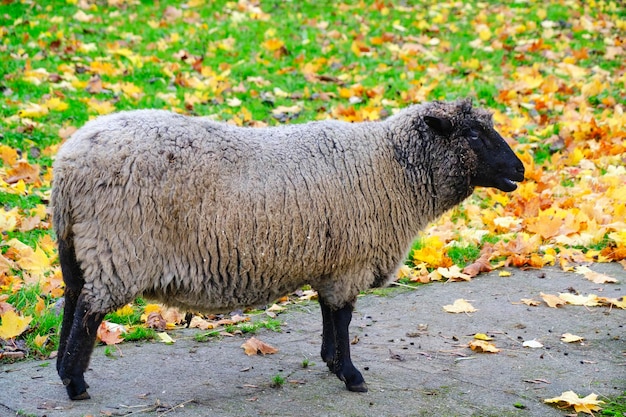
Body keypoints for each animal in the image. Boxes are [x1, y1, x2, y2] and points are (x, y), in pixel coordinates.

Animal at [52, 98, 520, 400]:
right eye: (472, 133)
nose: (520, 170)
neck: (392, 168)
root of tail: (67, 164)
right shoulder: (349, 263)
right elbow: (343, 317)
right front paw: (351, 375)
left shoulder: (331, 262)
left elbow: (330, 315)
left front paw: (331, 362)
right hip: (119, 249)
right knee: (88, 313)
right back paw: (76, 385)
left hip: (80, 248)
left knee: (72, 299)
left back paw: (62, 371)